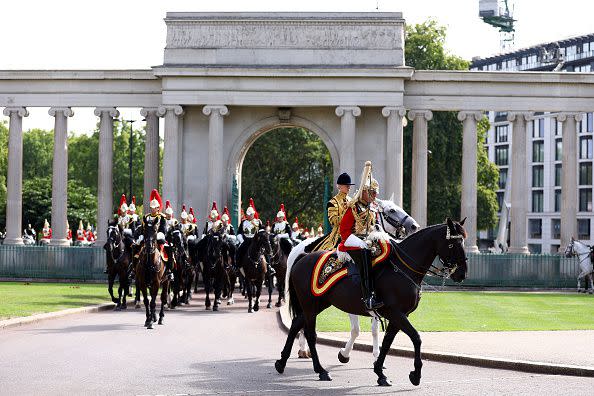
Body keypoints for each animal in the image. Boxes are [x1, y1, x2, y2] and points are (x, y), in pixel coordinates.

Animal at [274, 218, 468, 386]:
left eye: (463, 243)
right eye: (453, 244)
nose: (462, 274)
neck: (402, 268)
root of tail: (304, 256)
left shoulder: (399, 315)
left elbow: (387, 342)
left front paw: (380, 373)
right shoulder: (395, 312)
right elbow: (416, 337)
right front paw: (416, 374)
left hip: (318, 304)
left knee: (296, 323)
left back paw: (282, 362)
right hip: (309, 304)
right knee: (310, 333)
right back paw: (320, 370)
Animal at [284, 198, 418, 362]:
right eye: (391, 210)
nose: (414, 226)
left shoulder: (373, 299)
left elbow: (374, 329)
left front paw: (376, 356)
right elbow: (355, 330)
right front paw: (344, 354)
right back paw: (303, 350)